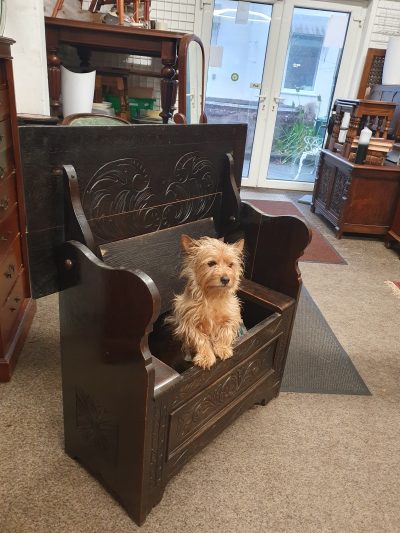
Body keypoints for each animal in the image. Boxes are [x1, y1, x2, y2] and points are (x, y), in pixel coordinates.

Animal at [168, 235, 244, 368]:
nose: (226, 279)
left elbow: (226, 331)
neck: (212, 296)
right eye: (211, 263)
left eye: (230, 265)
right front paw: (205, 357)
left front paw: (222, 348)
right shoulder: (189, 324)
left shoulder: (232, 315)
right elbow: (201, 339)